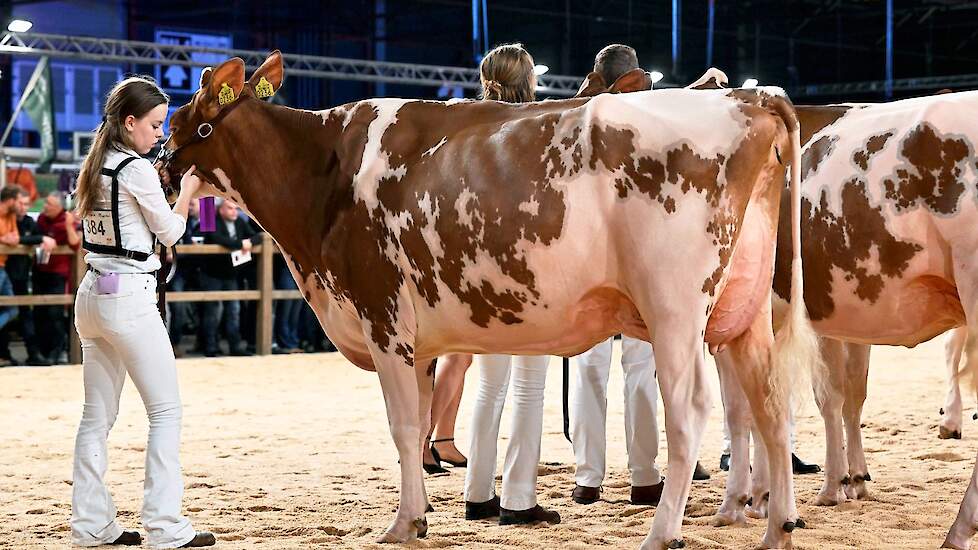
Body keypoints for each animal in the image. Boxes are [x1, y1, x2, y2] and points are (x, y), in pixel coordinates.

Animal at [160, 52, 816, 550]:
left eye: (180, 122)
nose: (159, 170)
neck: (323, 176)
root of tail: (748, 100)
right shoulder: (417, 339)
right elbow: (419, 423)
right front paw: (421, 513)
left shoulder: (383, 318)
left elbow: (402, 425)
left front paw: (403, 524)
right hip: (746, 311)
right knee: (770, 404)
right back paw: (776, 529)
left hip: (676, 312)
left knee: (691, 412)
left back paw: (662, 534)